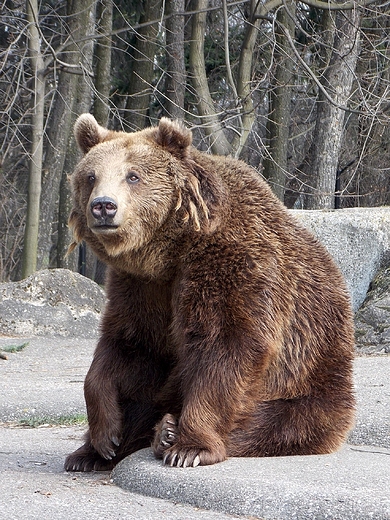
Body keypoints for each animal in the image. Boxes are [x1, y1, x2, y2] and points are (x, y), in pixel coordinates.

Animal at [64, 114, 356, 472]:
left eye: (133, 175)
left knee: (278, 422)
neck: (171, 248)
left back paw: (168, 432)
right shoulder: (140, 285)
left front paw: (189, 448)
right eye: (91, 176)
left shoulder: (231, 265)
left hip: (311, 379)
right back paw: (89, 453)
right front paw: (105, 436)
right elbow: (131, 345)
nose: (103, 206)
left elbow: (226, 346)